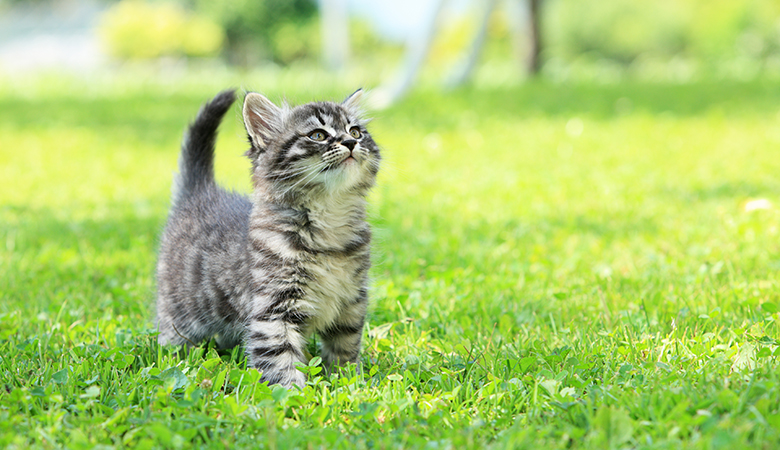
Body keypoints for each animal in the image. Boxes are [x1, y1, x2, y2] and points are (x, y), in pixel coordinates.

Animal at [154, 89, 380, 386]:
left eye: (355, 131)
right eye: (318, 135)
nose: (351, 142)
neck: (329, 221)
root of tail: (200, 192)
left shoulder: (351, 302)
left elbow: (345, 346)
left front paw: (348, 381)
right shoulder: (272, 310)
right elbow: (280, 360)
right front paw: (295, 393)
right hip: (179, 312)